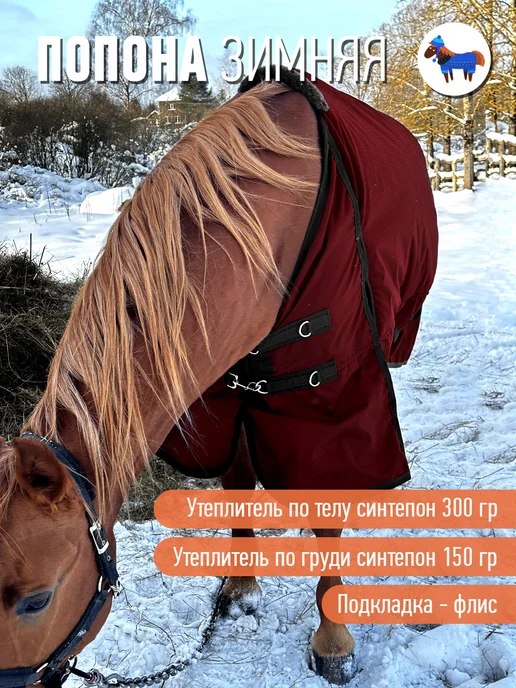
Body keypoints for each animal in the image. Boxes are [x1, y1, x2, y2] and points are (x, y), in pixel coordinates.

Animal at [0, 68, 438, 687]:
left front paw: (333, 637)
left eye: (36, 600)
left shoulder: (329, 394)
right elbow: (236, 481)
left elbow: (327, 504)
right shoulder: (219, 394)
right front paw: (241, 588)